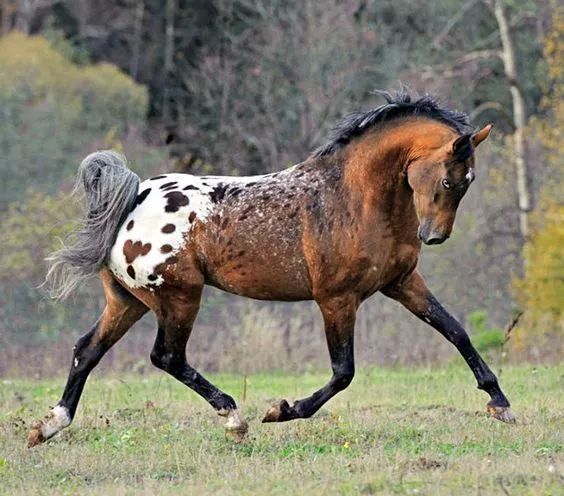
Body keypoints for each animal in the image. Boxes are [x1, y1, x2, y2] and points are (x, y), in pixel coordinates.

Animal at [29, 90, 516, 450]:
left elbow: (456, 332)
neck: (353, 197)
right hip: (178, 297)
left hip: (130, 300)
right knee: (166, 356)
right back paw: (234, 418)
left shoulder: (401, 282)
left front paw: (499, 402)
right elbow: (344, 371)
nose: (433, 236)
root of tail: (133, 199)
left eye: (468, 183)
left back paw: (47, 426)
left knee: (87, 349)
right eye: (450, 180)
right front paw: (282, 411)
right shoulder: (336, 298)